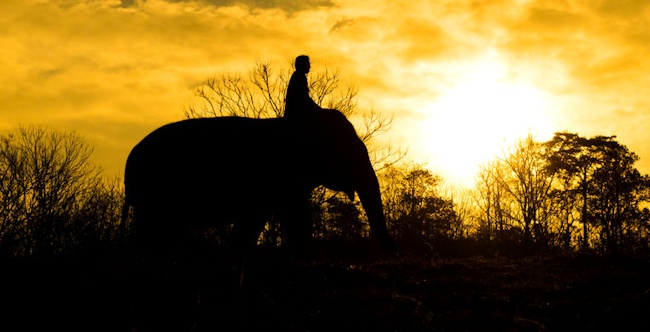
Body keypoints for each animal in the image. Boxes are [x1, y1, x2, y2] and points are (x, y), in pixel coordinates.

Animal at [121, 109, 394, 256]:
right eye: (349, 152)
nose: (392, 254)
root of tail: (129, 160)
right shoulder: (277, 177)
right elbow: (285, 215)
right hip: (154, 192)